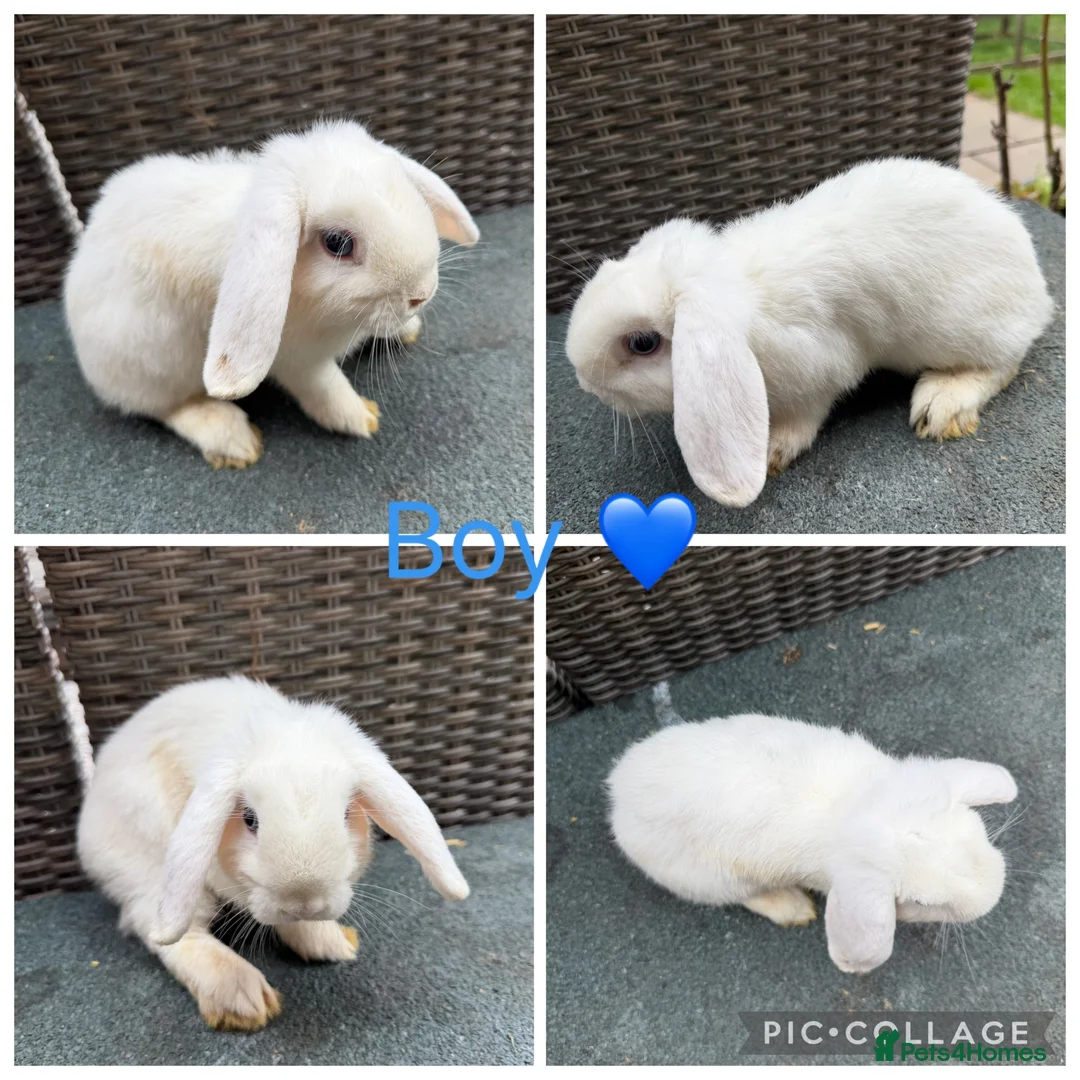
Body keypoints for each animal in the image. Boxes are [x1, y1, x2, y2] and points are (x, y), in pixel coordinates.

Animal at [64, 119, 479, 469]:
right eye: (338, 243)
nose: (421, 294)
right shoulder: (296, 358)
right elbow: (324, 387)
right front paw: (361, 417)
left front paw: (406, 328)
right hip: (155, 359)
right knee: (167, 408)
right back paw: (233, 439)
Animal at [76, 676, 469, 1031]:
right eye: (250, 819)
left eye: (345, 814)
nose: (304, 900)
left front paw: (328, 940)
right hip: (157, 868)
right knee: (169, 931)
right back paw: (242, 997)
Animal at [566, 157, 1053, 507]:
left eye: (642, 343)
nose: (582, 380)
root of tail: (1035, 285)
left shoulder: (817, 371)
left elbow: (804, 416)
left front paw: (771, 450)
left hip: (968, 328)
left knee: (1004, 362)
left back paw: (942, 406)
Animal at [607, 714, 1017, 974]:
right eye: (923, 904)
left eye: (976, 830)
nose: (993, 894)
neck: (858, 809)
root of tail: (616, 793)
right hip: (711, 878)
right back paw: (793, 908)